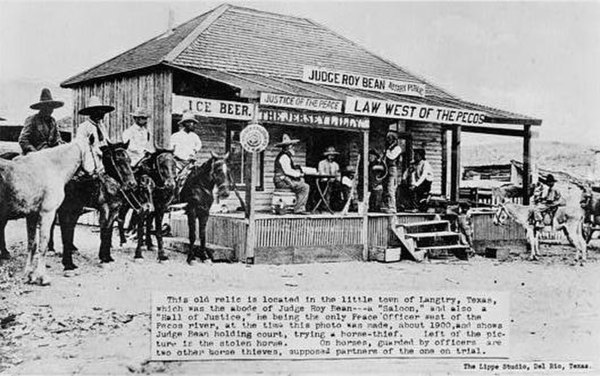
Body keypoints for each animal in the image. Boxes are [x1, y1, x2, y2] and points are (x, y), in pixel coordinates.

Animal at [0, 137, 95, 284]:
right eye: (98, 153)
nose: (95, 173)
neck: (52, 168)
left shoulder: (31, 215)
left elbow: (32, 244)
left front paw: (28, 274)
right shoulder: (48, 213)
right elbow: (43, 244)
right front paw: (42, 277)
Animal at [50, 140, 138, 268]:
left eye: (129, 160)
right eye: (117, 160)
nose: (132, 184)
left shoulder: (114, 210)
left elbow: (109, 231)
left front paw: (108, 257)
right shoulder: (104, 209)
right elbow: (104, 231)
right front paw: (103, 258)